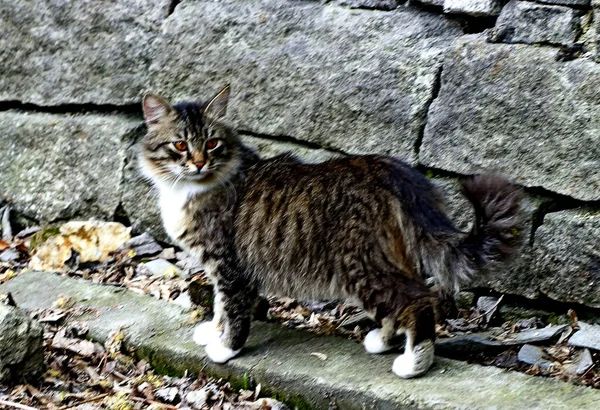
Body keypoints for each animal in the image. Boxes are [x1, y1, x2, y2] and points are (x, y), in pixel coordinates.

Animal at [138, 85, 524, 378]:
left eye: (212, 143)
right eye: (180, 145)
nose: (199, 162)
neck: (191, 189)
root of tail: (382, 168)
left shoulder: (229, 265)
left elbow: (232, 310)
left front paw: (225, 348)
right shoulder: (219, 269)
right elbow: (219, 305)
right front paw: (213, 332)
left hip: (360, 266)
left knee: (418, 301)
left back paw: (414, 362)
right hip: (384, 260)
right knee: (405, 298)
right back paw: (384, 340)